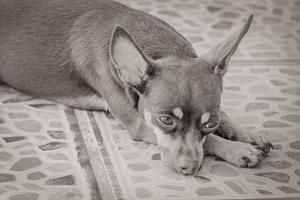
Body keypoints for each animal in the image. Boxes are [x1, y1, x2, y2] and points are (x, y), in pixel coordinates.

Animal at [0, 0, 272, 175]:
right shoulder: (140, 123)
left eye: (210, 124)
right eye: (165, 120)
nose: (189, 169)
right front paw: (237, 149)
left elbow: (223, 118)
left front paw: (246, 134)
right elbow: (209, 143)